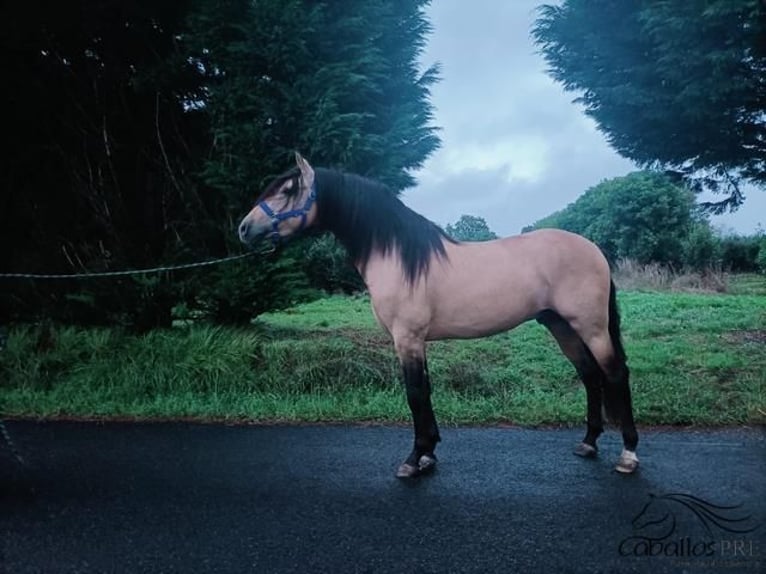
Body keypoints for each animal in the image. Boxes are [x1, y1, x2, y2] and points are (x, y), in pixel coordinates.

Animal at [240, 153, 640, 482]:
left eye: (288, 190)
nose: (244, 228)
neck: (397, 257)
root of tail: (593, 250)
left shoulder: (407, 338)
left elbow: (415, 393)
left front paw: (413, 460)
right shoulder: (416, 341)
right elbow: (426, 391)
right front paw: (429, 454)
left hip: (591, 327)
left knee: (614, 374)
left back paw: (628, 455)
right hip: (561, 326)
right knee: (590, 376)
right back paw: (588, 443)